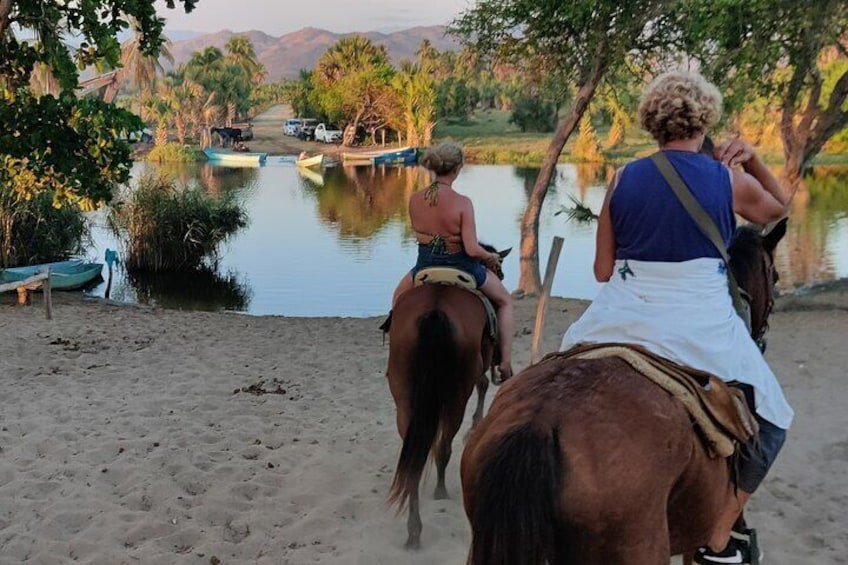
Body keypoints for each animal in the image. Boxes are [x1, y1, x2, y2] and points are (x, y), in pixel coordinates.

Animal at [386, 246, 510, 548]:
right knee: (444, 445)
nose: (500, 276)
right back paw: (440, 491)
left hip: (404, 395)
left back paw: (414, 531)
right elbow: (482, 385)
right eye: (499, 270)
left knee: (414, 459)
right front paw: (476, 422)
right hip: (456, 395)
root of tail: (435, 308)